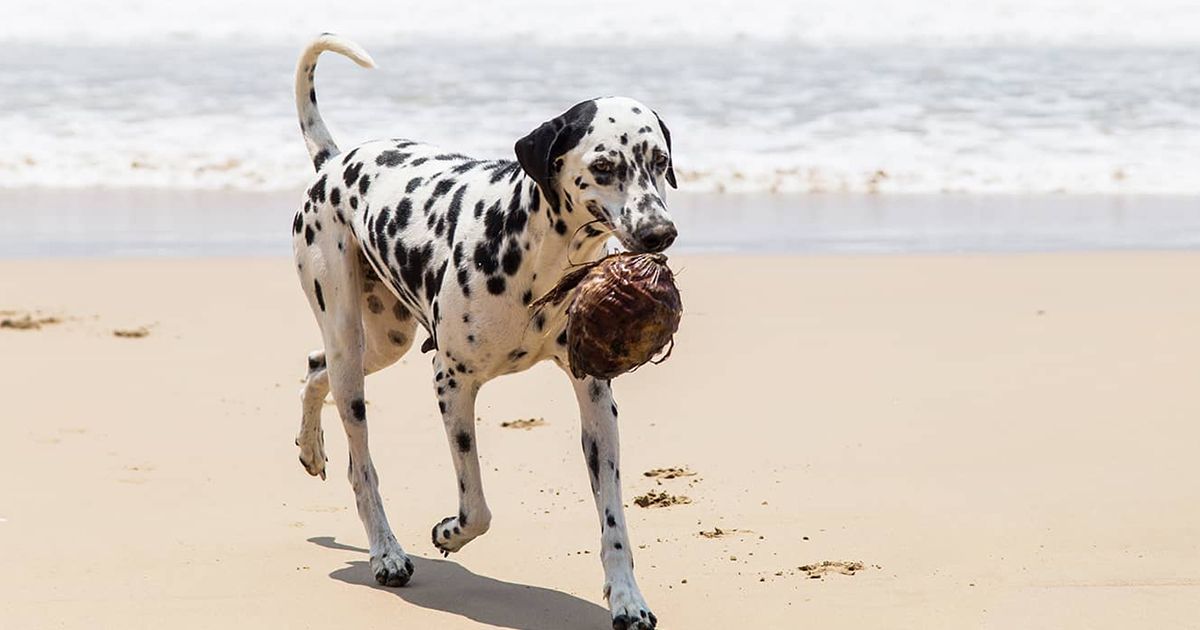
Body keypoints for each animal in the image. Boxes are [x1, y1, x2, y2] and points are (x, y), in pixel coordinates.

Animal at [288, 35, 676, 628]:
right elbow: (477, 508)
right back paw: (386, 552)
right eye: (604, 166)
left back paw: (311, 449)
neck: (538, 254)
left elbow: (614, 521)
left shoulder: (595, 400)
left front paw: (628, 599)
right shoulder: (451, 382)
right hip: (350, 343)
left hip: (384, 339)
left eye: (660, 161)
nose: (662, 232)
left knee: (315, 366)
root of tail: (333, 162)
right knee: (361, 464)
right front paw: (447, 532)